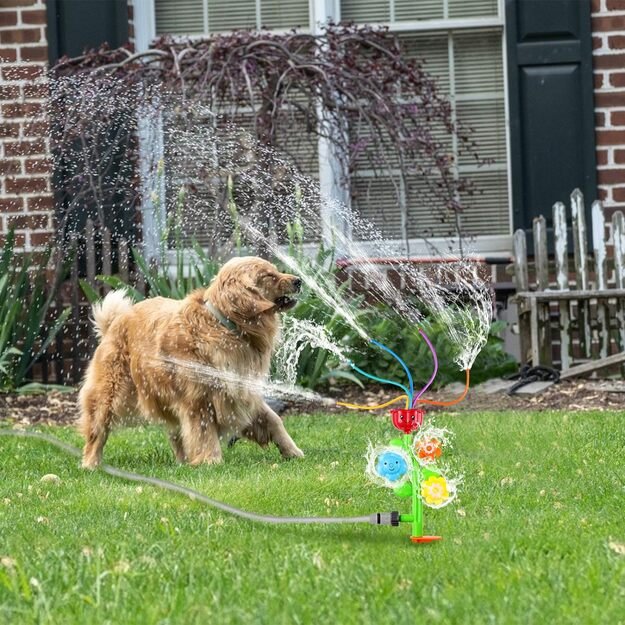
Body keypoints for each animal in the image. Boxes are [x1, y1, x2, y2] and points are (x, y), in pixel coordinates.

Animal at [79, 256, 304, 466]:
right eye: (269, 275)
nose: (299, 280)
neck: (227, 327)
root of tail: (114, 322)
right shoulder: (198, 399)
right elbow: (204, 433)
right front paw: (211, 461)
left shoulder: (241, 390)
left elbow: (273, 419)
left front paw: (293, 451)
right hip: (110, 393)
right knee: (97, 431)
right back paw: (91, 464)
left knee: (176, 434)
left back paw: (183, 462)